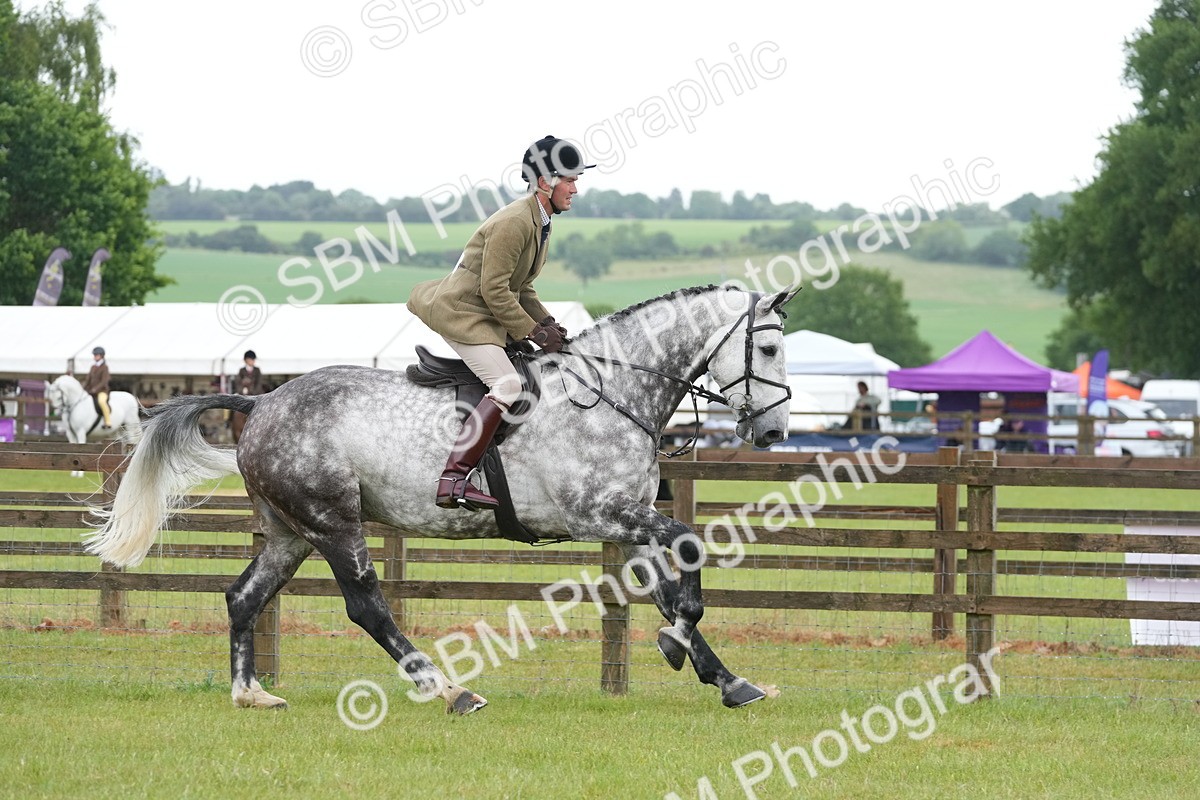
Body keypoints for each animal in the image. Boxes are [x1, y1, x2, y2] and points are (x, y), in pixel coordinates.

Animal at [86, 284, 798, 715]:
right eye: (767, 347)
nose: (773, 433)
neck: (610, 391)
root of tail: (261, 402)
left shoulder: (623, 523)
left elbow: (672, 586)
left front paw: (722, 675)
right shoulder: (601, 512)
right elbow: (688, 550)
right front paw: (679, 645)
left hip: (292, 531)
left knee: (244, 597)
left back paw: (250, 695)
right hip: (334, 521)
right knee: (367, 605)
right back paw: (446, 688)